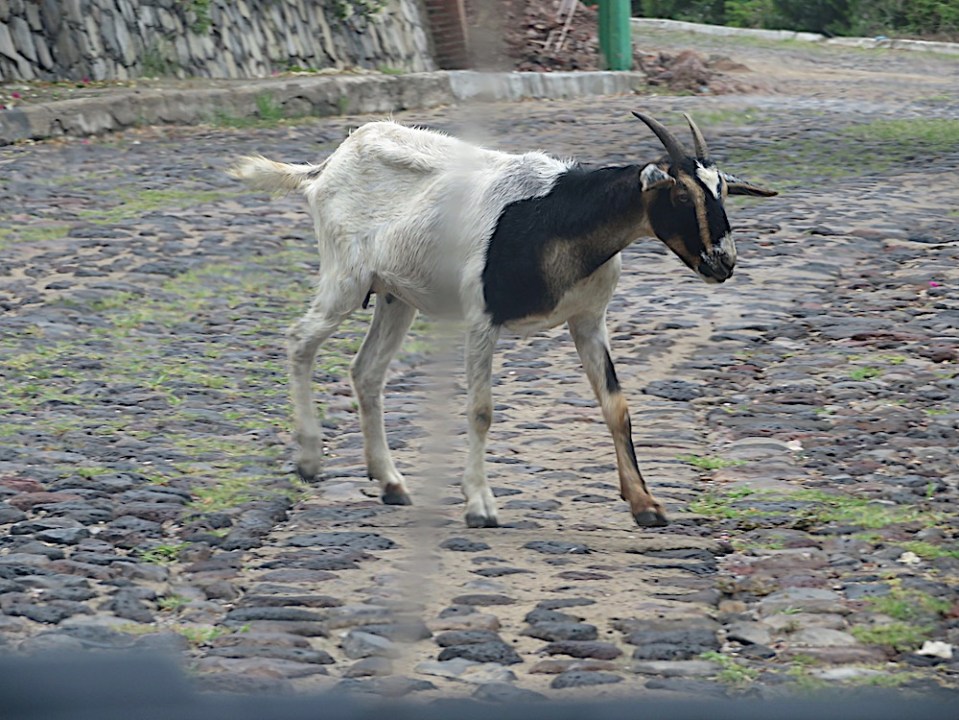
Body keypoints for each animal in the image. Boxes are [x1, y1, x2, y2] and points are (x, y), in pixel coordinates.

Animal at [228, 112, 776, 529]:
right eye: (681, 195)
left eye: (723, 193)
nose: (723, 262)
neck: (559, 217)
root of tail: (326, 167)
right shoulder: (481, 319)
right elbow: (481, 411)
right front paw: (480, 505)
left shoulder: (588, 320)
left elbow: (616, 407)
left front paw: (645, 505)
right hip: (345, 276)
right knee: (300, 340)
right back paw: (308, 458)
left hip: (395, 297)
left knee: (366, 372)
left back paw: (391, 482)